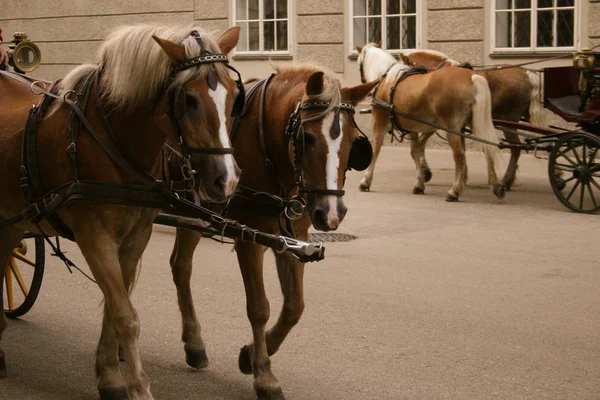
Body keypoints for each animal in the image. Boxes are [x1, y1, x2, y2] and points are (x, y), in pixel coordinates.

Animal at [0, 25, 244, 400]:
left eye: (232, 95)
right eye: (187, 99)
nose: (226, 180)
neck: (111, 140)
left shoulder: (135, 238)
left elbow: (115, 306)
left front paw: (110, 377)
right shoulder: (95, 237)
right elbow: (126, 316)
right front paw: (139, 387)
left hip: (12, 218)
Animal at [169, 64, 376, 398]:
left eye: (354, 142)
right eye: (307, 138)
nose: (331, 213)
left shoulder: (292, 239)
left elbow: (294, 307)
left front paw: (249, 354)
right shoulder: (249, 239)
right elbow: (259, 307)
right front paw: (264, 374)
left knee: (179, 265)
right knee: (180, 267)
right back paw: (193, 343)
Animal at [356, 43, 506, 203]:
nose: (364, 83)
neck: (388, 80)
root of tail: (472, 77)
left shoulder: (379, 123)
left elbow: (375, 149)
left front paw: (366, 181)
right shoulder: (412, 127)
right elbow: (415, 151)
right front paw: (420, 182)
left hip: (452, 128)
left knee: (459, 155)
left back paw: (454, 191)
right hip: (475, 123)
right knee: (486, 148)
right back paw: (496, 185)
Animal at [400, 48, 548, 192]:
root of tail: (527, 74)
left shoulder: (440, 122)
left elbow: (422, 143)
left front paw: (428, 173)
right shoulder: (454, 125)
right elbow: (454, 148)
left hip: (508, 120)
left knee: (516, 149)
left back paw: (507, 180)